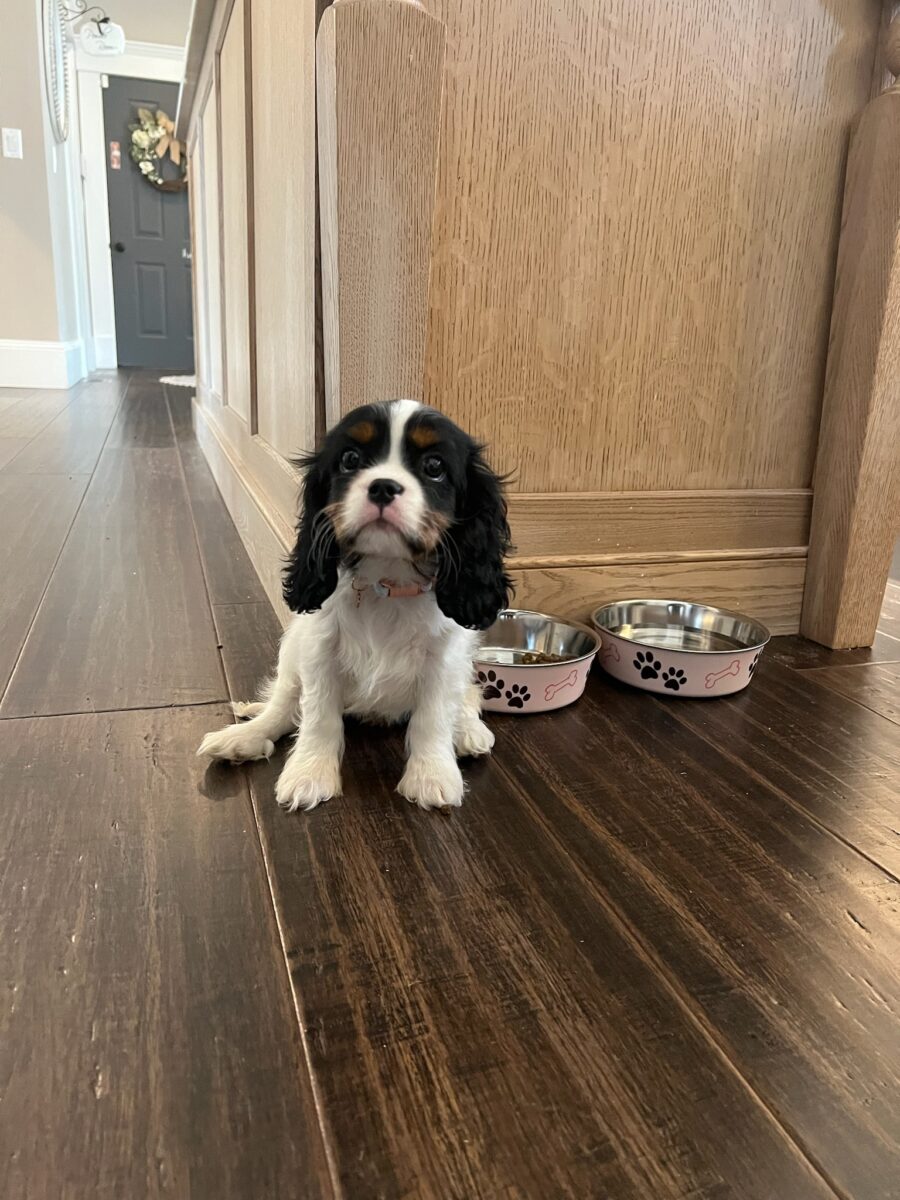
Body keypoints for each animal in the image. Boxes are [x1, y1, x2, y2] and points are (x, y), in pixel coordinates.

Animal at [200, 398, 511, 811]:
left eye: (434, 467)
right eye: (350, 459)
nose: (383, 486)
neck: (386, 579)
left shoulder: (445, 657)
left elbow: (432, 716)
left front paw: (431, 776)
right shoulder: (319, 648)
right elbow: (317, 715)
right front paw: (309, 773)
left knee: (468, 698)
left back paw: (469, 732)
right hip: (293, 646)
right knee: (283, 702)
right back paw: (245, 737)